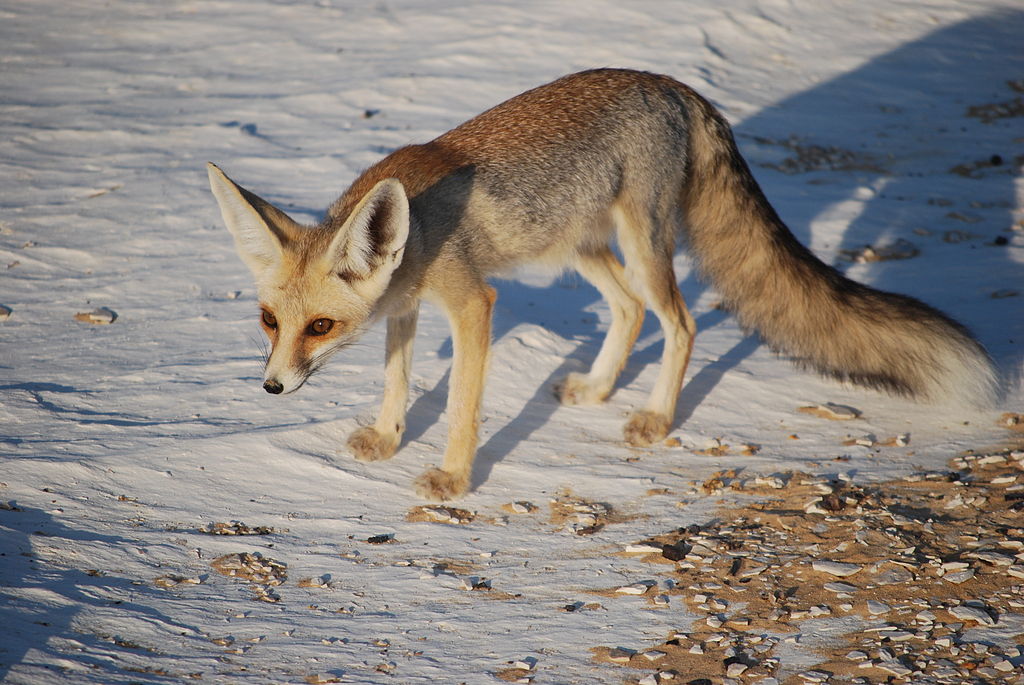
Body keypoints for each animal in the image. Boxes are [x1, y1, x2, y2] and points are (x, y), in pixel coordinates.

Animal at [208, 68, 998, 501]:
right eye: (269, 321)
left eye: (320, 327)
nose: (272, 387)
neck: (420, 229)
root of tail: (675, 85)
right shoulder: (405, 307)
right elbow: (397, 381)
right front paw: (387, 436)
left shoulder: (471, 301)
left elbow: (461, 406)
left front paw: (454, 480)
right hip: (583, 248)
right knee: (630, 311)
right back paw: (597, 387)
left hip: (641, 243)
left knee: (679, 321)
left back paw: (654, 416)